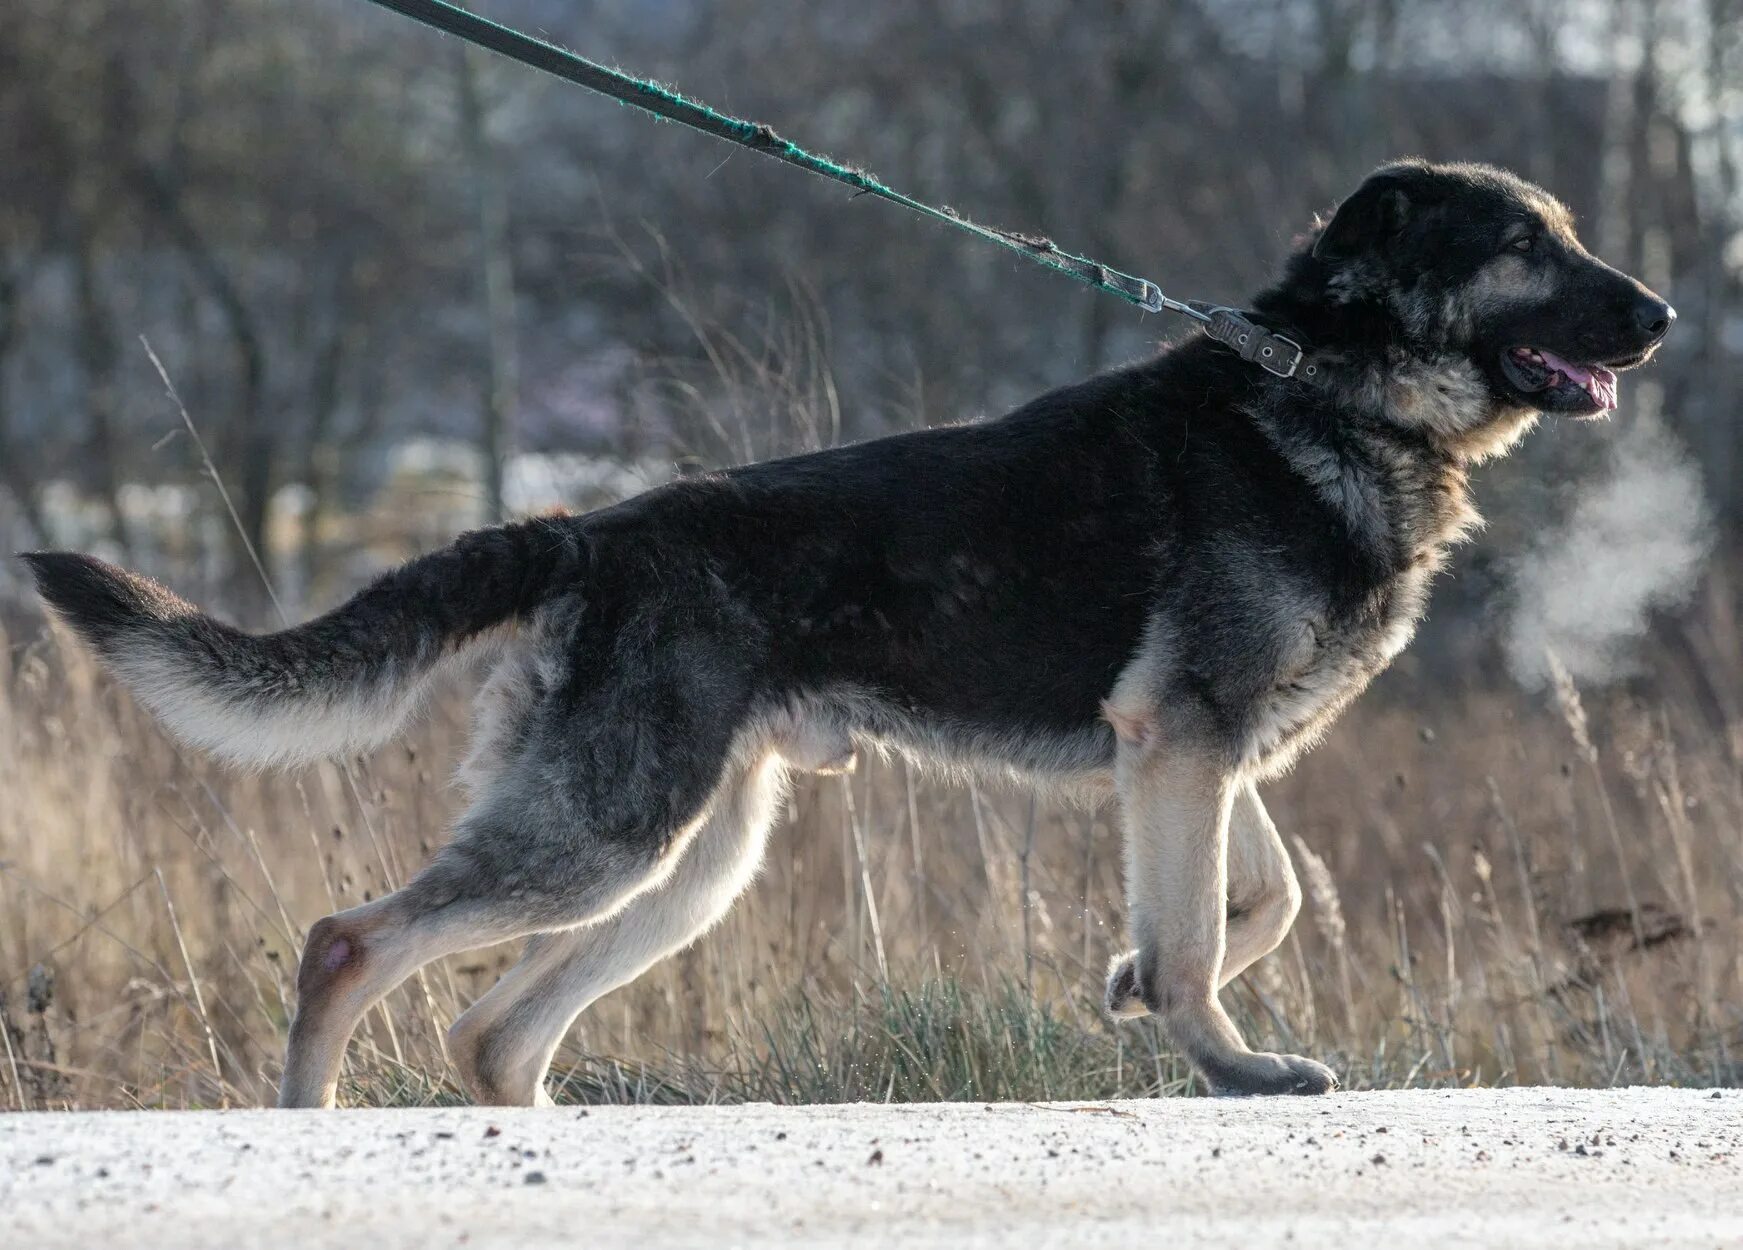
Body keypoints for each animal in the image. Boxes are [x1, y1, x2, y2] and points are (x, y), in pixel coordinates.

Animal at [20, 161, 1666, 1108]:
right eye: (1524, 245)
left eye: (1568, 235)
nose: (1656, 313)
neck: (1327, 385)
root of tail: (592, 529)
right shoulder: (1184, 740)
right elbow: (1206, 929)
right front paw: (1226, 1060)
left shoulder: (1188, 756)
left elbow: (1256, 894)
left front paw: (1133, 985)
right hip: (611, 833)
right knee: (349, 941)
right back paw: (306, 1126)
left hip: (690, 856)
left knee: (490, 1030)